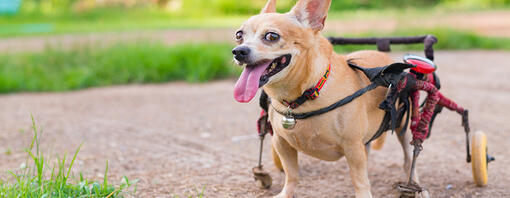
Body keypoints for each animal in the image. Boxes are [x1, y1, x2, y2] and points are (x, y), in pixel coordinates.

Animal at [233, 0, 424, 197]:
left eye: (271, 36)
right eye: (238, 35)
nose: (238, 51)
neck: (303, 96)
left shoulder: (353, 147)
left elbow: (359, 180)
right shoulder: (282, 143)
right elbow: (291, 174)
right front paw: (286, 193)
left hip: (403, 129)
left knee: (409, 161)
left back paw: (416, 186)